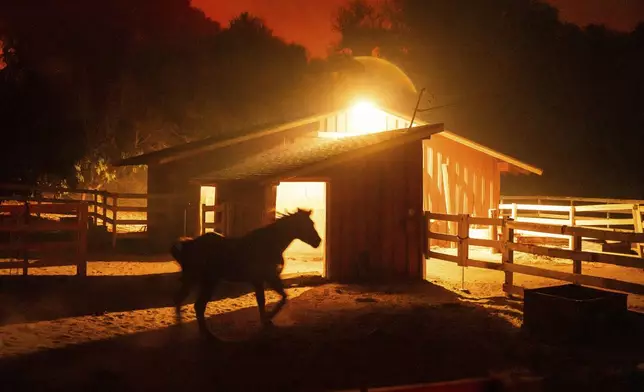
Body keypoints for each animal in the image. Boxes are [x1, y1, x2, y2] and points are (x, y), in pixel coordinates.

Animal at [170, 208, 322, 340]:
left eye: (312, 223)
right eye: (306, 224)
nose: (318, 242)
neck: (269, 244)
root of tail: (189, 245)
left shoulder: (265, 279)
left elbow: (274, 298)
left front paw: (267, 320)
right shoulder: (267, 278)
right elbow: (273, 299)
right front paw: (268, 318)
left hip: (193, 280)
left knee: (180, 300)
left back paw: (183, 328)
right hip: (208, 281)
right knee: (197, 306)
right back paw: (209, 335)